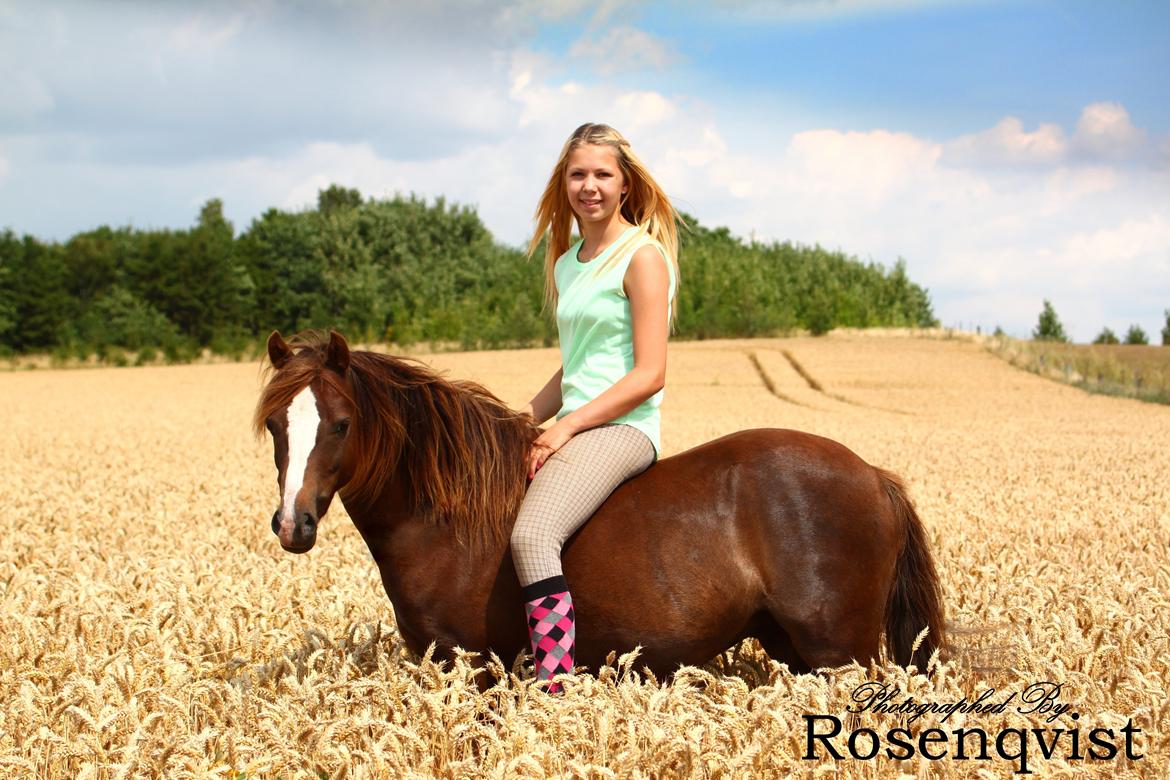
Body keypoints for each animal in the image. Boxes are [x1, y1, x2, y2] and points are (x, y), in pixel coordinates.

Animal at [254, 330, 945, 687]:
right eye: (275, 426)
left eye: (342, 423)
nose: (293, 525)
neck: (445, 521)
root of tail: (874, 476)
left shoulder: (473, 668)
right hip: (799, 652)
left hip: (841, 654)